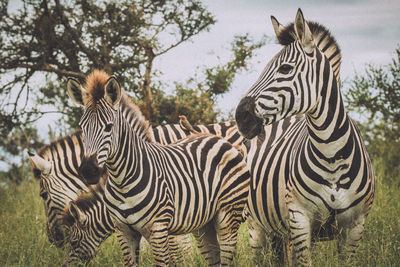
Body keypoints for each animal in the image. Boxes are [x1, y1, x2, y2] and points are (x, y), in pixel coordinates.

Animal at [67, 69, 252, 267]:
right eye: (82, 127)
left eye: (109, 127)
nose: (88, 170)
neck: (121, 180)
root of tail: (220, 140)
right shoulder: (124, 231)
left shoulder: (160, 229)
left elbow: (172, 260)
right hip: (205, 223)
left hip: (228, 215)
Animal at [234, 8, 376, 266]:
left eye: (285, 69)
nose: (241, 117)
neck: (331, 155)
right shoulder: (300, 218)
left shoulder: (355, 225)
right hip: (256, 225)